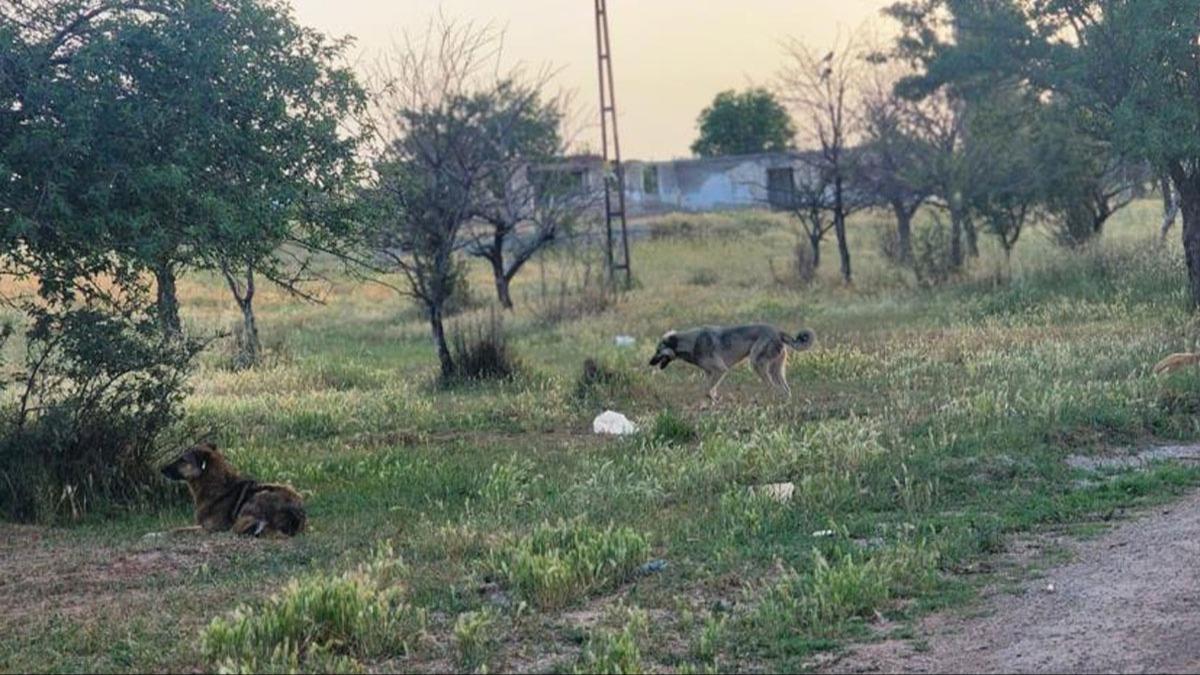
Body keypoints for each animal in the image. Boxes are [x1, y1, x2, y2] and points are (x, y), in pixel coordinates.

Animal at [159, 441, 307, 535]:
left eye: (182, 460)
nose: (161, 469)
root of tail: (296, 515)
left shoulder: (212, 528)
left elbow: (177, 529)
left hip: (258, 496)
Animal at [648, 321, 816, 398]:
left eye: (658, 350)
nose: (649, 362)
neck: (692, 342)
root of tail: (778, 331)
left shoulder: (720, 370)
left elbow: (707, 390)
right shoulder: (709, 373)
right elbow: (708, 390)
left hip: (757, 364)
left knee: (772, 387)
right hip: (776, 370)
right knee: (785, 390)